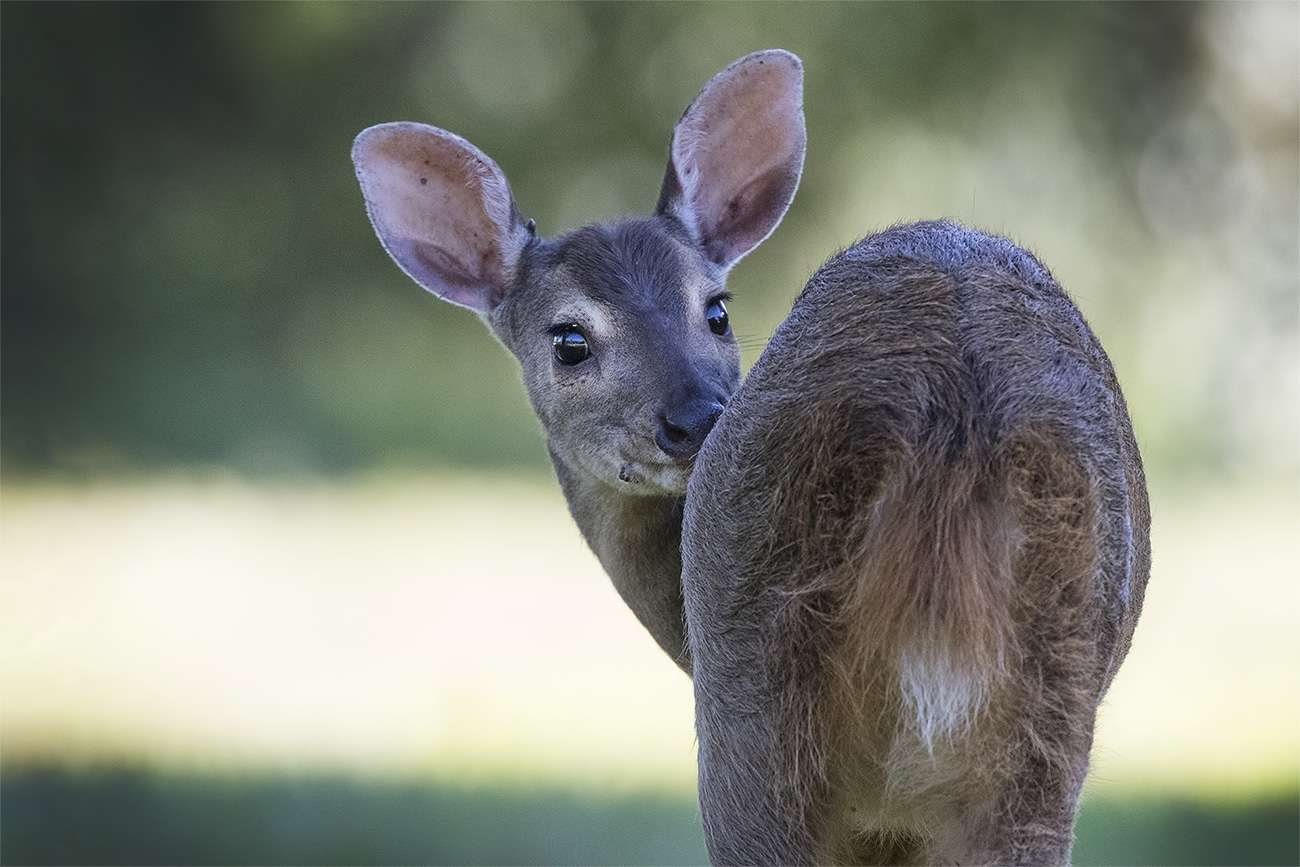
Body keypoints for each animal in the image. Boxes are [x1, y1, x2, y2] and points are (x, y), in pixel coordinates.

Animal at [353, 49, 1149, 867]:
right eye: (568, 339)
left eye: (716, 309)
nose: (696, 418)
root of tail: (950, 420)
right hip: (1045, 701)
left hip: (756, 689)